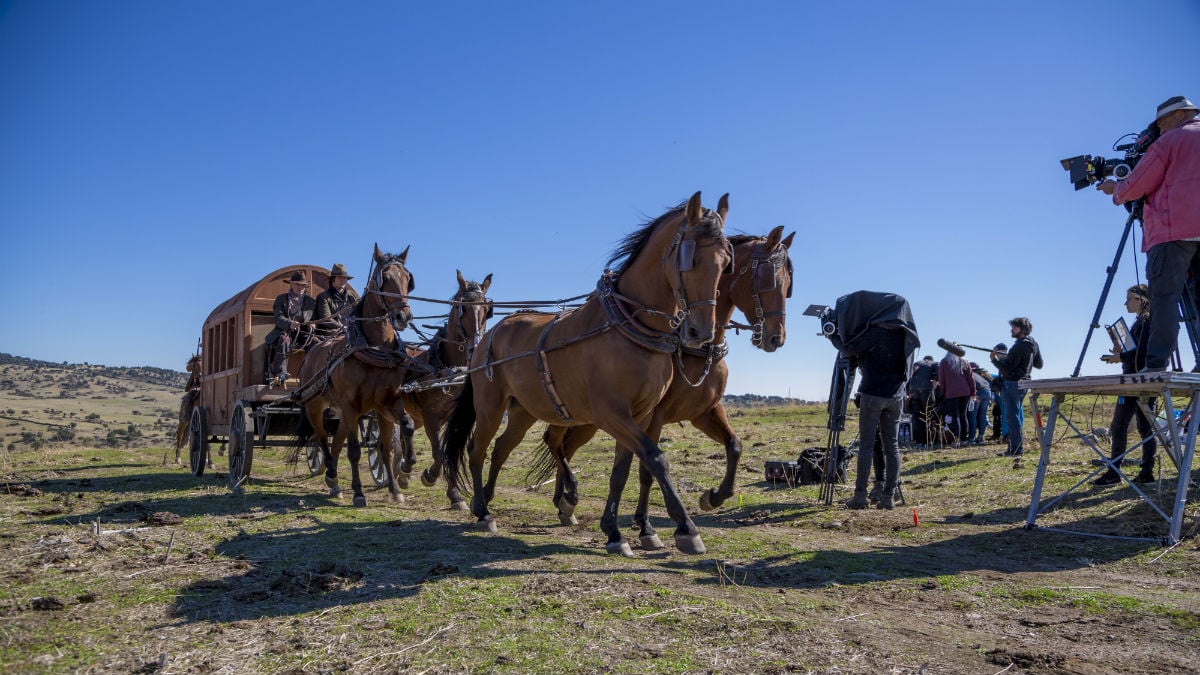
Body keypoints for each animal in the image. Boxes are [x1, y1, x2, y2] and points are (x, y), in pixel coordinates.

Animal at [292, 242, 415, 504]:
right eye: (384, 278)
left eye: (408, 279)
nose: (403, 316)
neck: (375, 350)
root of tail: (311, 351)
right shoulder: (351, 406)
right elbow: (355, 451)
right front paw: (358, 493)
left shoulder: (386, 403)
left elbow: (392, 442)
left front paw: (399, 480)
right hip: (316, 406)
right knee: (322, 440)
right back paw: (331, 475)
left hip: (341, 412)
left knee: (336, 442)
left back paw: (333, 480)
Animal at [441, 189, 729, 552]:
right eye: (688, 257)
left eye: (725, 261)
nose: (700, 332)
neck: (629, 327)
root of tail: (487, 337)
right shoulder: (612, 414)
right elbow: (656, 458)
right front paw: (686, 529)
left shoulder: (642, 415)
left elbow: (623, 471)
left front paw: (615, 531)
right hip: (490, 406)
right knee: (476, 450)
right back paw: (482, 511)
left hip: (523, 411)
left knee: (502, 448)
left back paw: (490, 499)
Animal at [528, 225, 796, 547]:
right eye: (769, 279)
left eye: (789, 285)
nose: (776, 338)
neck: (696, 349)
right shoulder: (652, 416)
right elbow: (647, 470)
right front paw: (647, 526)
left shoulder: (704, 412)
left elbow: (734, 446)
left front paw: (713, 497)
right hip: (586, 418)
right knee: (557, 443)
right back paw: (567, 498)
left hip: (586, 420)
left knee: (563, 447)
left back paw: (564, 501)